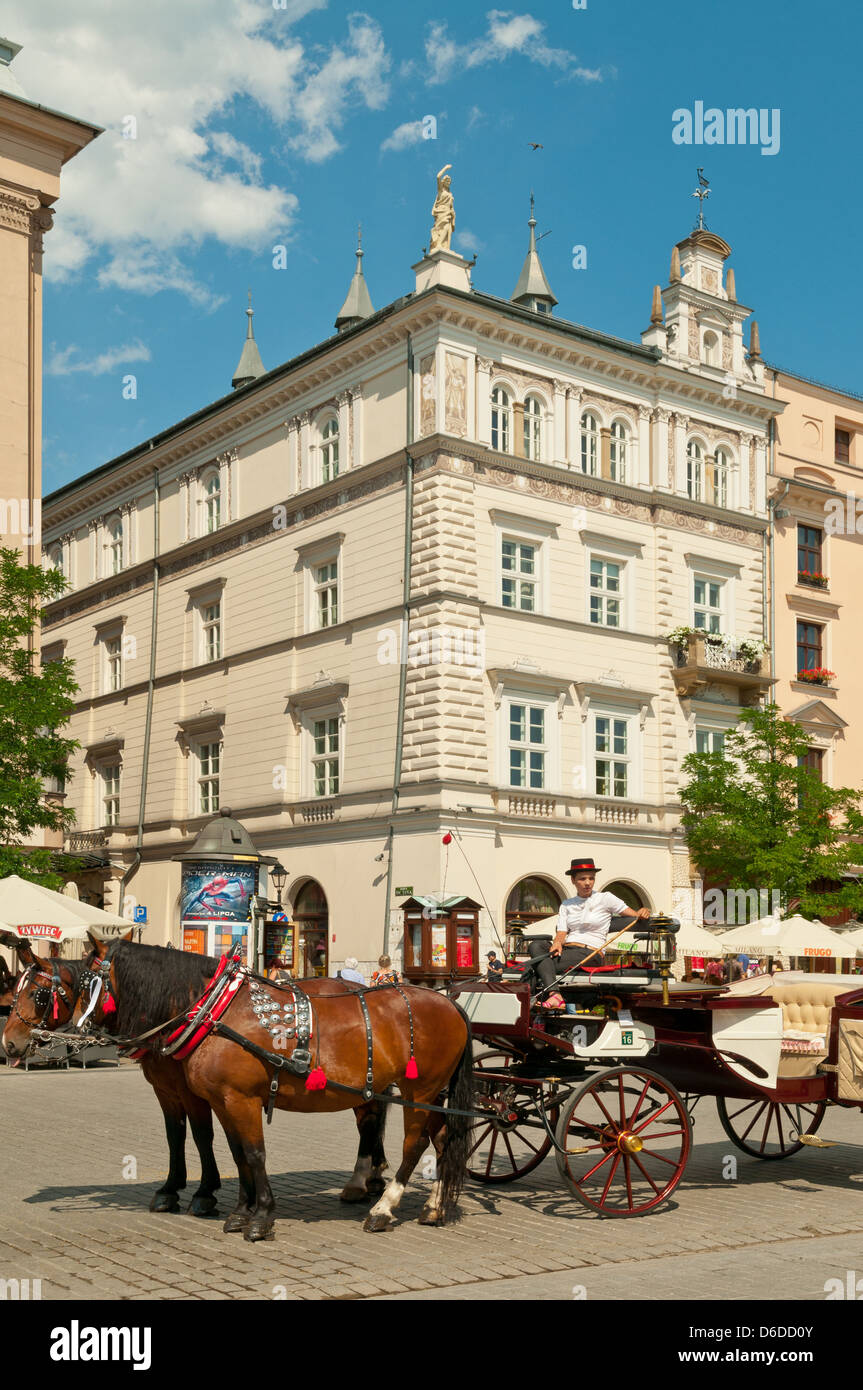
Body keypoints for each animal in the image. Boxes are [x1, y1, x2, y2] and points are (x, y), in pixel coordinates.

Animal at [77, 934, 475, 1239]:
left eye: (89, 981)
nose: (77, 1029)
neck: (217, 1012)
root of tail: (449, 1002)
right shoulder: (222, 1101)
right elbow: (238, 1154)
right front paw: (241, 1211)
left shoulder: (240, 1099)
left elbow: (255, 1154)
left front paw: (261, 1216)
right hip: (430, 1092)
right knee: (441, 1139)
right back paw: (433, 1206)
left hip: (420, 1091)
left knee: (414, 1144)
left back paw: (383, 1208)